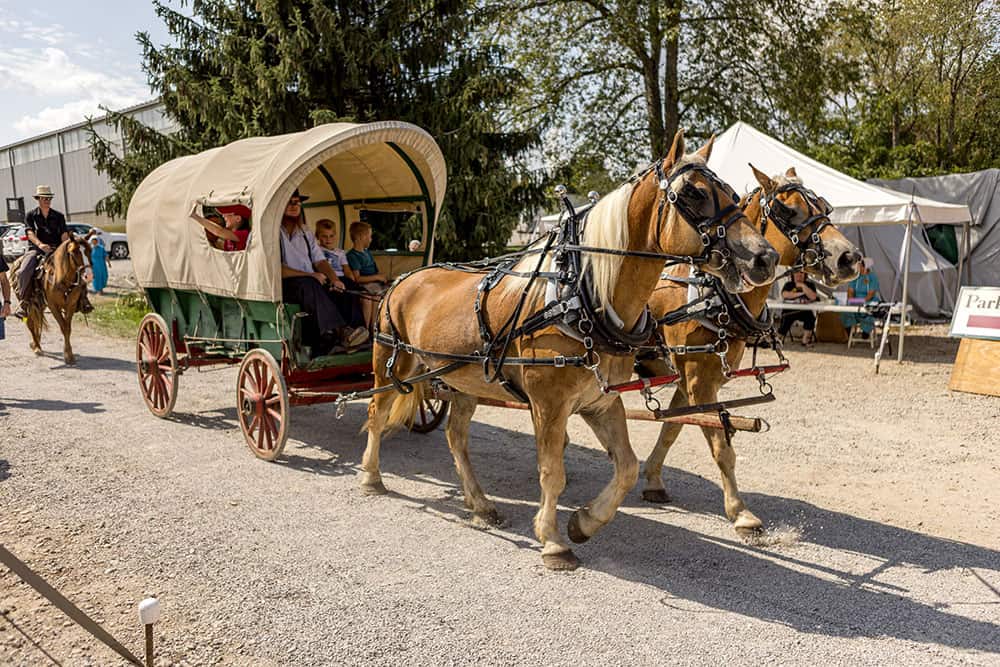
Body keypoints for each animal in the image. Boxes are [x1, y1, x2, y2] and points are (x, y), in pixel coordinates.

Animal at [360, 130, 780, 570]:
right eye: (694, 193)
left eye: (733, 193)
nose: (765, 257)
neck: (583, 297)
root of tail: (405, 277)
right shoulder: (549, 404)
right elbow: (552, 471)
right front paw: (552, 539)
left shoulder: (600, 400)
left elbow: (627, 466)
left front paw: (584, 522)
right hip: (392, 363)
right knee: (376, 412)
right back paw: (371, 476)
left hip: (463, 382)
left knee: (456, 437)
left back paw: (480, 504)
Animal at [638, 165, 862, 537]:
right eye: (787, 210)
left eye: (824, 206)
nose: (849, 258)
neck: (715, 295)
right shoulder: (699, 383)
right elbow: (720, 446)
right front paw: (740, 512)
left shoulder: (690, 381)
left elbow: (673, 428)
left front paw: (653, 480)